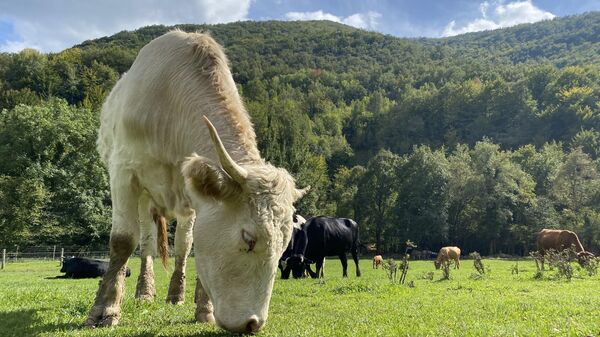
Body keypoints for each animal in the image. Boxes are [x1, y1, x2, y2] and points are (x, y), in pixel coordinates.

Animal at [89, 29, 310, 334]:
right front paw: (105, 310)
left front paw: (204, 309)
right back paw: (144, 292)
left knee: (182, 246)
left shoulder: (195, 197)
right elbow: (123, 240)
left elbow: (192, 246)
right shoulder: (122, 172)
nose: (253, 323)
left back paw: (176, 294)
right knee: (145, 242)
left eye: (285, 245)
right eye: (248, 238)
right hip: (145, 197)